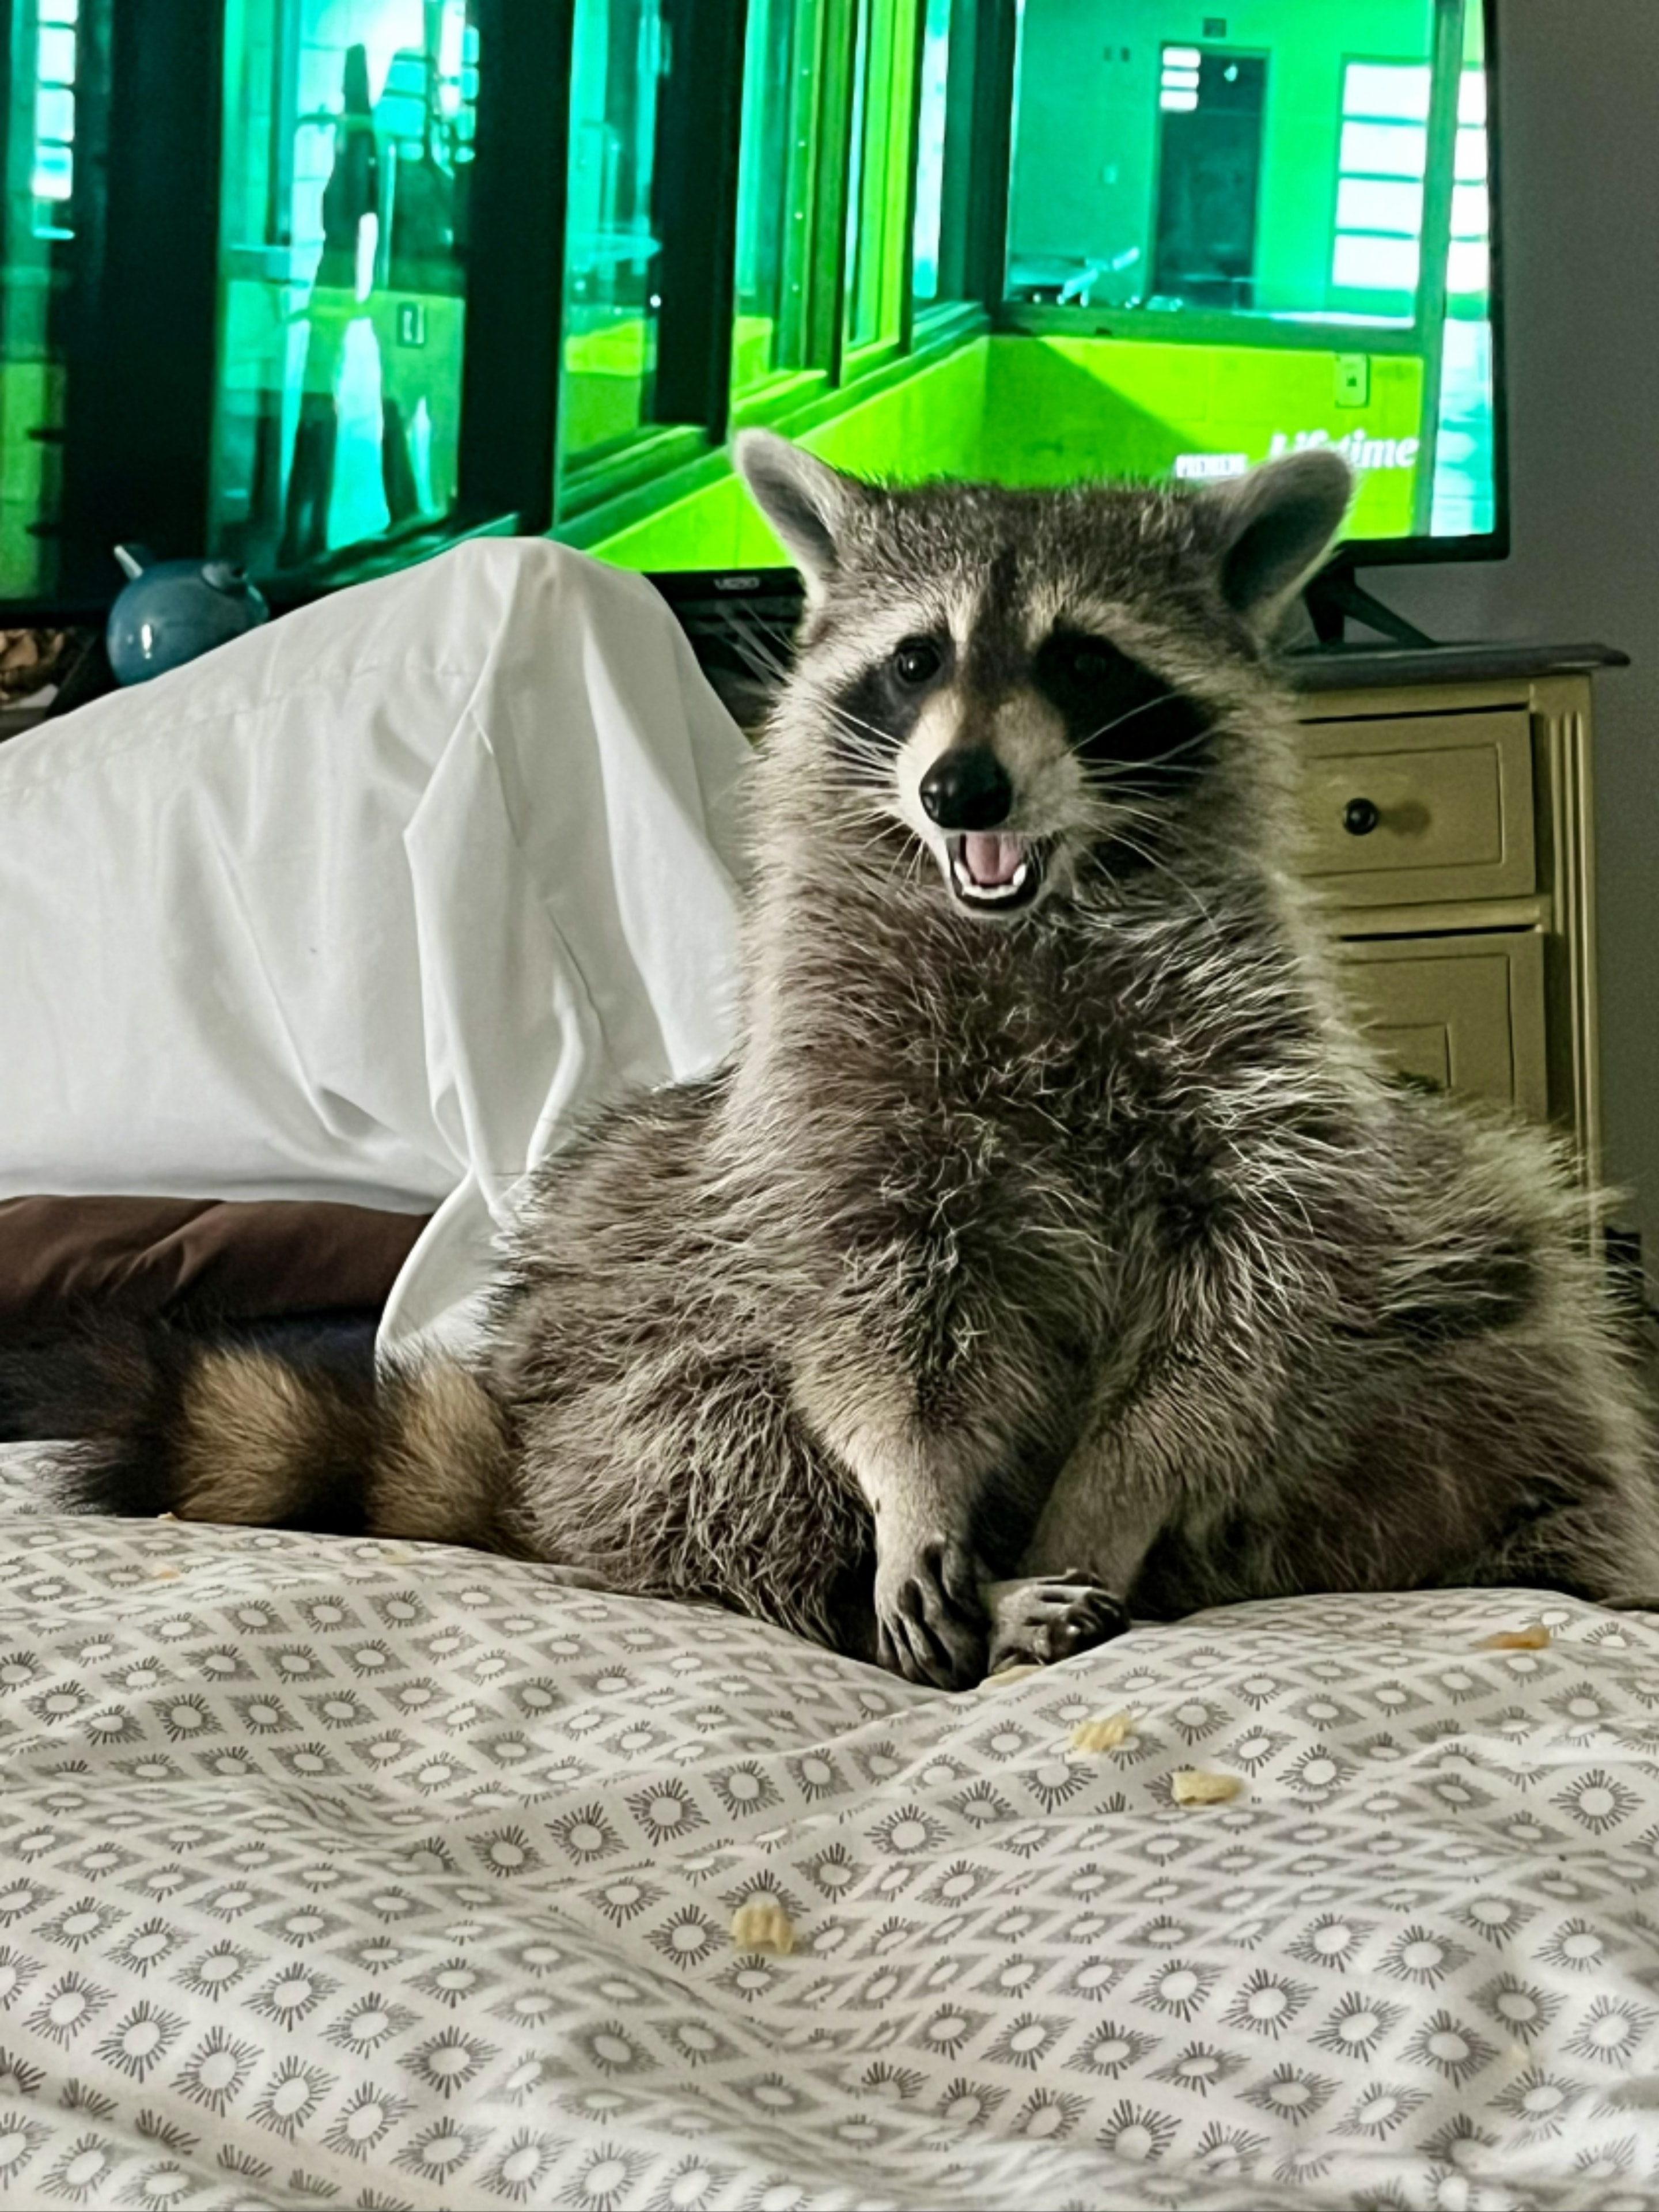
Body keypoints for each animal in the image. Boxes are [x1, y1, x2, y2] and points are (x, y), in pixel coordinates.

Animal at [27, 434, 1658, 1688]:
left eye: (1081, 661)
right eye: (914, 659)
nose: (960, 787)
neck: (1031, 914)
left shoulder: (1266, 1087)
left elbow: (1239, 1319)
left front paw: (1109, 1494)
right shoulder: (832, 1095)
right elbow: (881, 1316)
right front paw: (915, 1491)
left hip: (1460, 1329)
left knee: (1511, 1366)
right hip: (624, 1344)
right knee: (717, 1437)